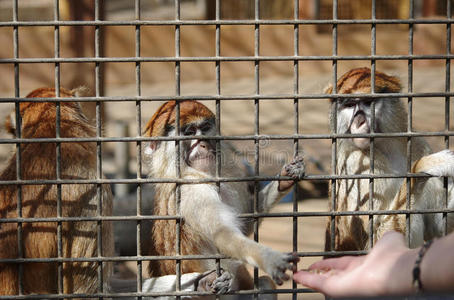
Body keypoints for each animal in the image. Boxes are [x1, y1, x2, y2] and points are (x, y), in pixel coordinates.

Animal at [142, 99, 306, 294]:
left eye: (205, 128)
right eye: (190, 132)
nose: (203, 144)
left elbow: (244, 226)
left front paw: (285, 178)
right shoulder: (192, 190)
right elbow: (224, 234)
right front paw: (269, 258)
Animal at [324, 67, 454, 252]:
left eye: (368, 103)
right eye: (349, 105)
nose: (359, 122)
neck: (384, 147)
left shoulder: (418, 144)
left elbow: (438, 230)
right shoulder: (354, 163)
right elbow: (378, 240)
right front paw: (425, 165)